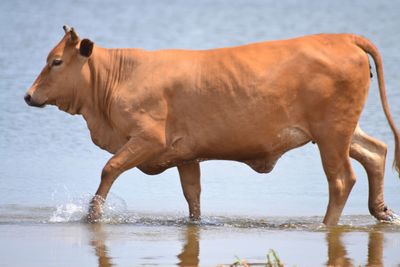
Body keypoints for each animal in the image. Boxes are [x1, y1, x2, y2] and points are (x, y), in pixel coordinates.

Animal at [24, 25, 400, 226]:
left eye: (56, 61)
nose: (28, 96)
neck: (118, 78)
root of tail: (342, 37)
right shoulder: (185, 155)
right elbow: (193, 195)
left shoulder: (148, 139)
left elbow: (109, 168)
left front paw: (92, 216)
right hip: (339, 131)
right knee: (376, 151)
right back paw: (381, 211)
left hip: (331, 133)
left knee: (342, 179)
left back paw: (326, 226)